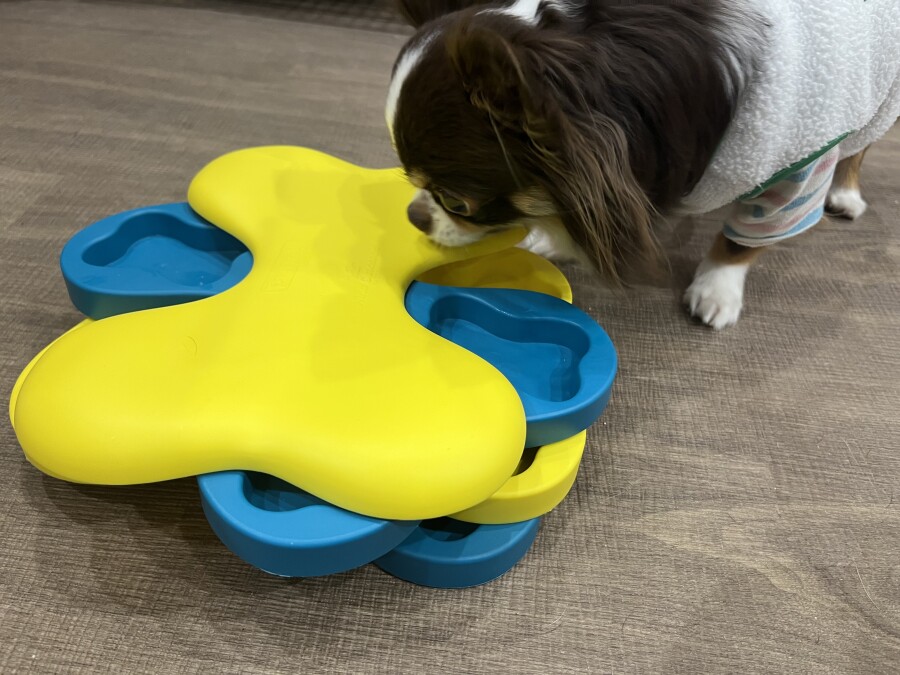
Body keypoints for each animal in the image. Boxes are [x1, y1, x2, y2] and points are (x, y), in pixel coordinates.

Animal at [385, 0, 900, 328]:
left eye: (457, 203)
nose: (413, 216)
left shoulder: (794, 163)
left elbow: (743, 240)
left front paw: (717, 288)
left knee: (861, 145)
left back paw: (846, 193)